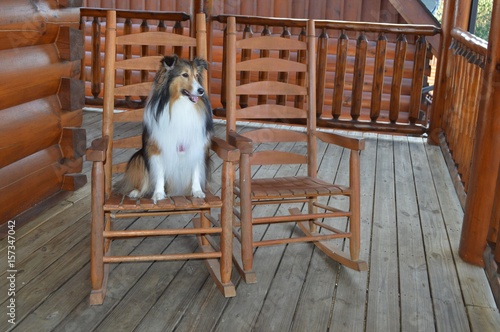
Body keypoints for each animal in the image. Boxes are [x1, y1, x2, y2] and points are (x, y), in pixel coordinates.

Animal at [115, 54, 213, 202]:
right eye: (185, 75)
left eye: (196, 75)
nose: (201, 91)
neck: (182, 105)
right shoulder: (157, 147)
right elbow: (159, 173)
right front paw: (159, 193)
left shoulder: (197, 145)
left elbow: (195, 170)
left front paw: (197, 191)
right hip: (139, 157)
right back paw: (137, 192)